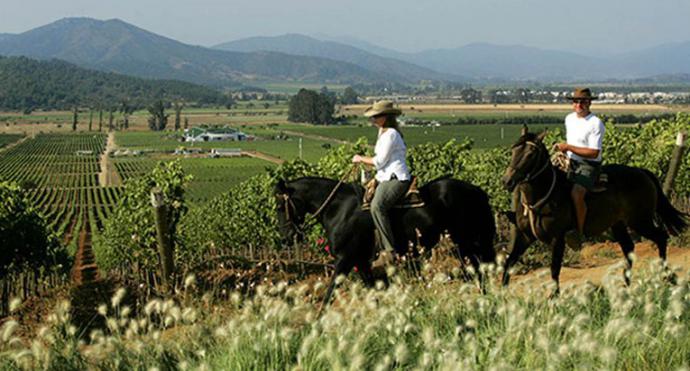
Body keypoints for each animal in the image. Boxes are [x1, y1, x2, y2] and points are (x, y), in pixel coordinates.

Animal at [272, 177, 494, 308]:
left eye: (280, 207)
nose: (285, 238)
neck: (339, 209)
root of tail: (476, 190)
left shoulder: (345, 260)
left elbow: (329, 294)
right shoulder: (360, 261)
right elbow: (372, 291)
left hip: (465, 241)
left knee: (479, 269)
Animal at [498, 127, 684, 290]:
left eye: (530, 153)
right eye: (513, 150)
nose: (507, 180)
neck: (542, 196)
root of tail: (643, 172)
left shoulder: (557, 238)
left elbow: (554, 269)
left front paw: (554, 298)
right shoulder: (525, 237)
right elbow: (509, 263)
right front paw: (501, 296)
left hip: (640, 221)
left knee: (661, 237)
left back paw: (665, 276)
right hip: (619, 224)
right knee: (630, 248)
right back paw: (627, 282)